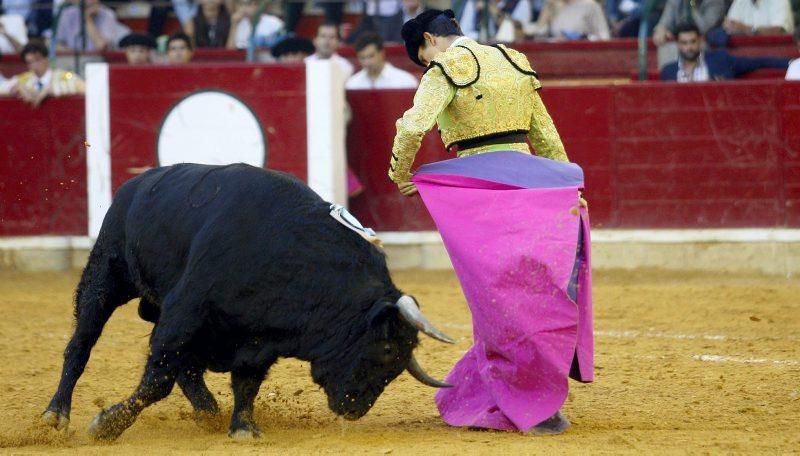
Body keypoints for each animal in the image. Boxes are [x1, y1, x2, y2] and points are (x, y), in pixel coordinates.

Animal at [43, 163, 454, 438]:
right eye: (386, 349)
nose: (356, 406)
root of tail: (136, 182)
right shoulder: (184, 310)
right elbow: (157, 378)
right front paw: (106, 424)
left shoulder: (260, 339)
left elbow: (246, 381)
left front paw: (242, 427)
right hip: (105, 275)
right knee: (81, 344)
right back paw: (55, 415)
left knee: (186, 367)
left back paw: (208, 411)